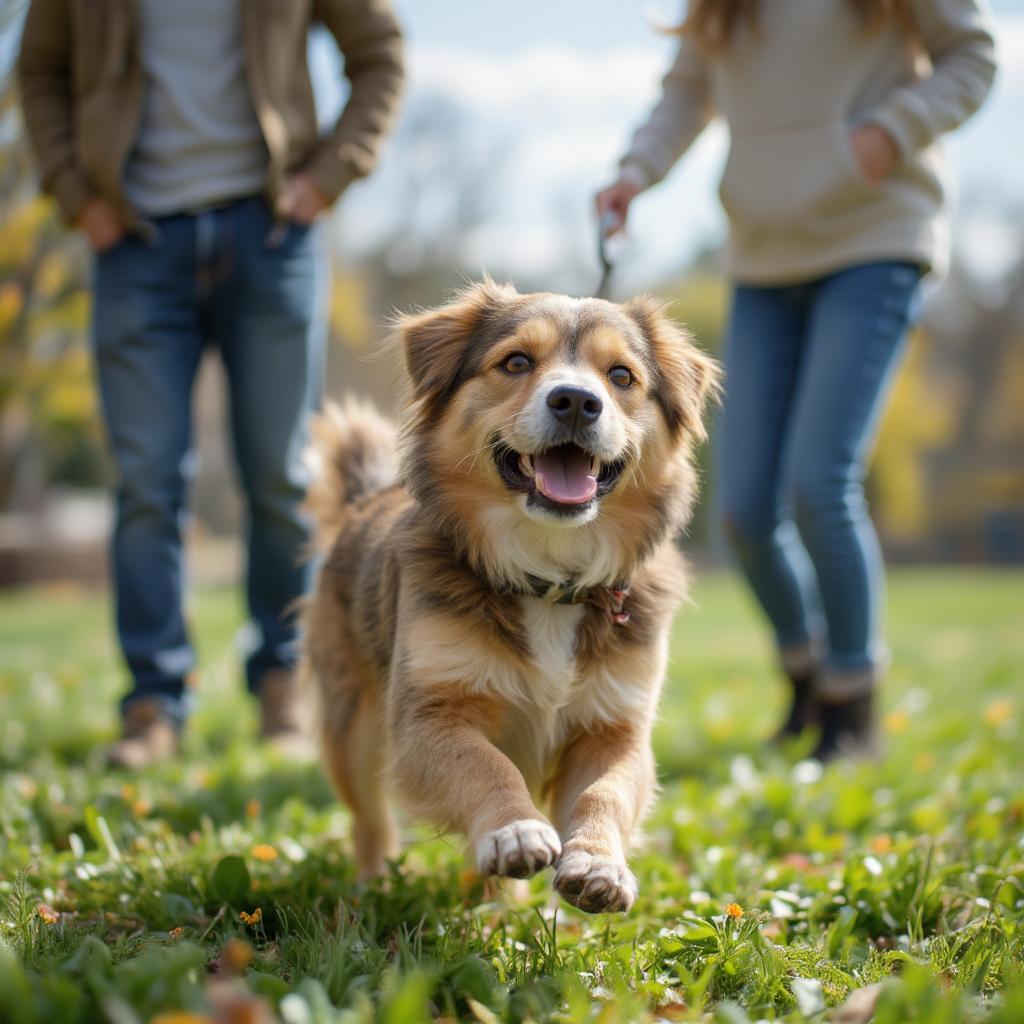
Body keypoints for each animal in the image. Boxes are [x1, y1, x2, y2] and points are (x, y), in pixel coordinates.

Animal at [301, 278, 720, 913]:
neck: (549, 578)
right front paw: (513, 829)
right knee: (370, 821)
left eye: (621, 376)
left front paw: (598, 863)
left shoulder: (616, 726)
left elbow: (604, 793)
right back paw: (372, 886)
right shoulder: (427, 716)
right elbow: (486, 765)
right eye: (517, 362)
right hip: (351, 730)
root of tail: (364, 501)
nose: (577, 401)